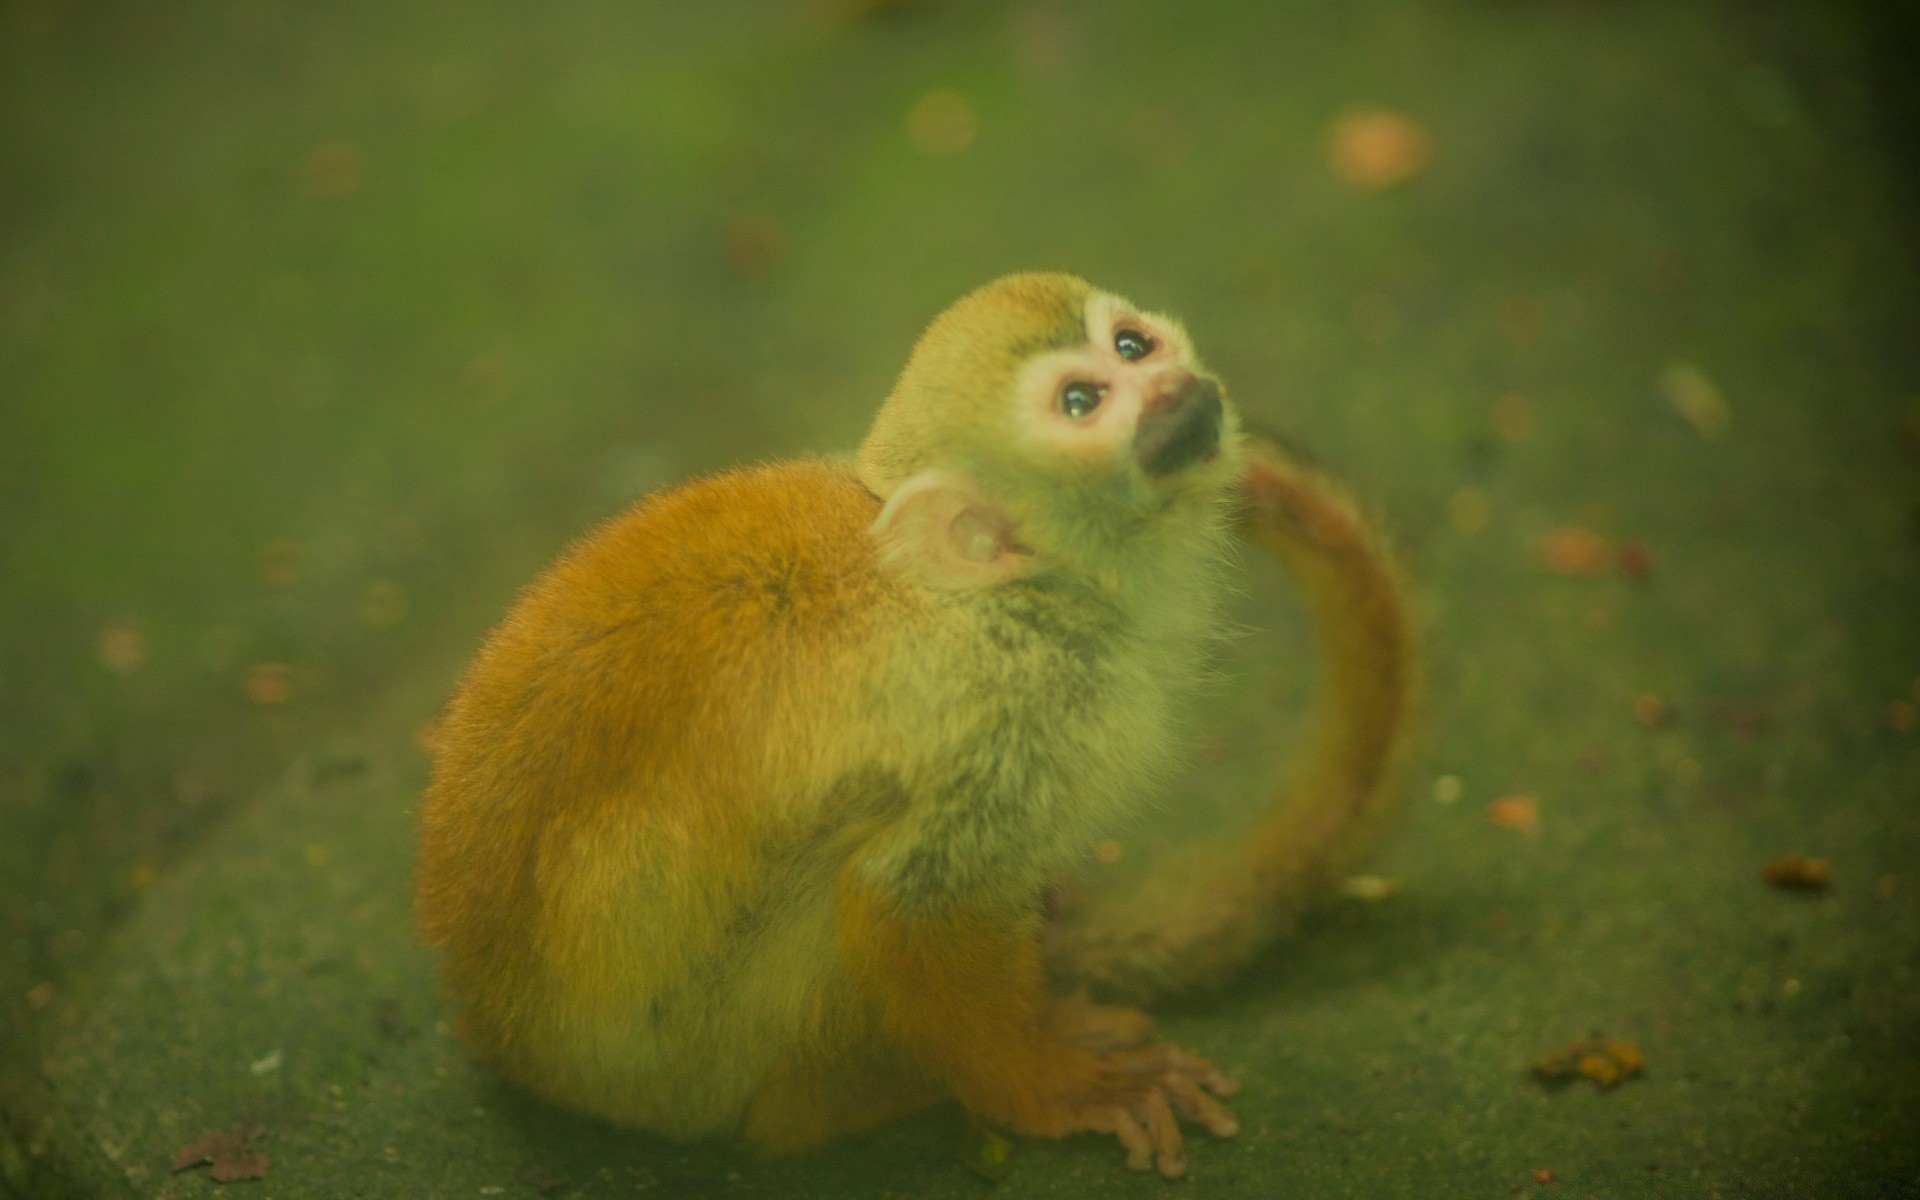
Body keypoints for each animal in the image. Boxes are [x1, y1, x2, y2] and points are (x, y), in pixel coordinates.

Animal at [416, 268, 1413, 1167]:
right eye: (1083, 401)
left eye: (1131, 345)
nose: (1175, 387)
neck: (1000, 597)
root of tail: (507, 1045)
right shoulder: (1009, 718)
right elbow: (907, 895)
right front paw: (1049, 1087)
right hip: (703, 1061)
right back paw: (856, 1098)